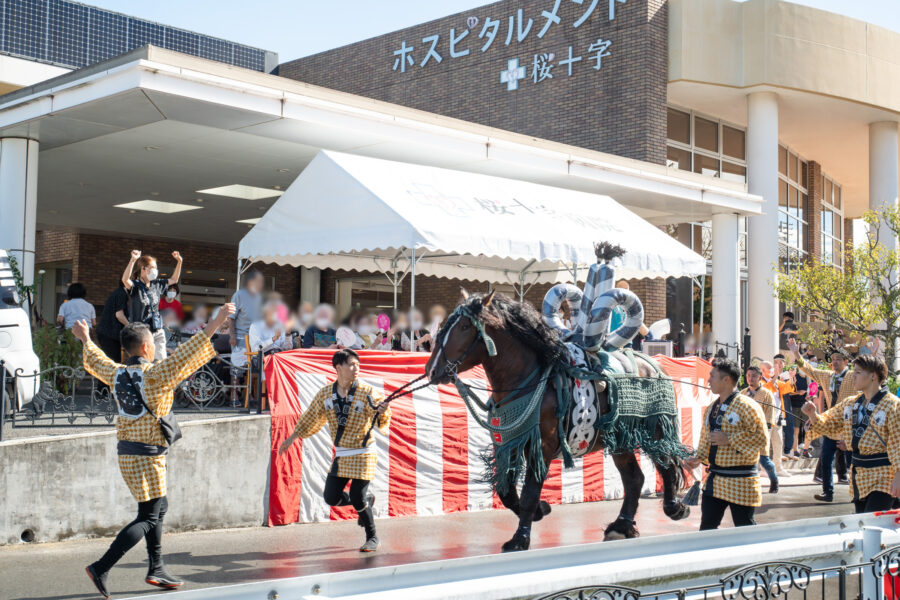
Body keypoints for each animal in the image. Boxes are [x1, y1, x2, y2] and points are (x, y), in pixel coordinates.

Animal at [426, 288, 692, 552]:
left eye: (464, 327)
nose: (432, 370)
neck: (529, 380)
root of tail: (655, 365)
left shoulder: (541, 446)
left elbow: (529, 493)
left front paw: (520, 538)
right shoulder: (509, 443)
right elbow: (507, 492)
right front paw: (539, 511)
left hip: (655, 431)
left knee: (666, 466)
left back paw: (674, 508)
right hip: (621, 439)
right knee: (634, 478)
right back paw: (622, 526)